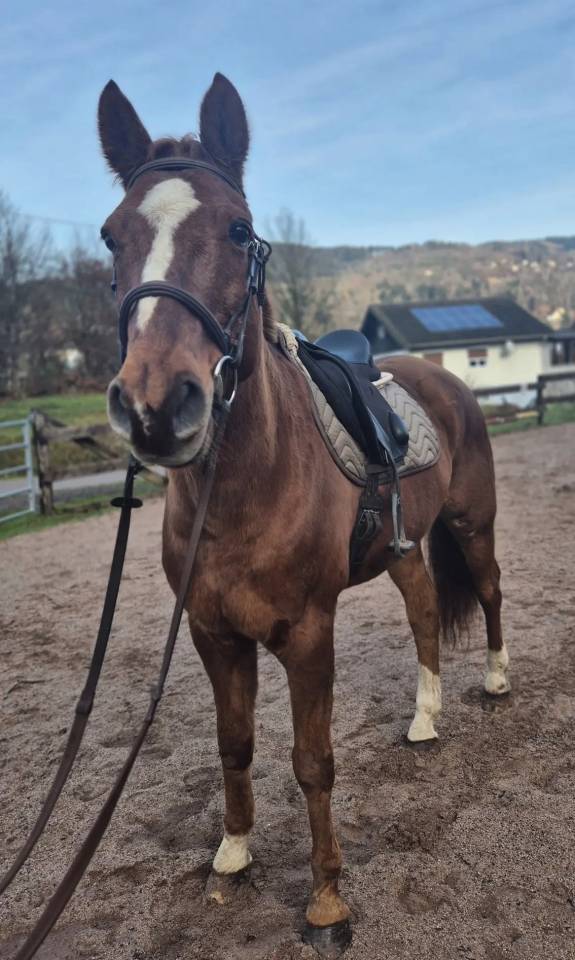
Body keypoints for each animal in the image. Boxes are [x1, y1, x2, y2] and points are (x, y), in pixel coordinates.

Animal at [98, 73, 511, 955]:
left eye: (238, 228)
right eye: (112, 238)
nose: (156, 405)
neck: (243, 490)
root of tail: (445, 378)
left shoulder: (306, 634)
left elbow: (312, 761)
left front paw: (326, 903)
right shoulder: (213, 634)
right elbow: (235, 743)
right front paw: (232, 854)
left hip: (471, 524)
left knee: (490, 592)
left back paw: (495, 680)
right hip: (403, 551)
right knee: (426, 614)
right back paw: (424, 720)